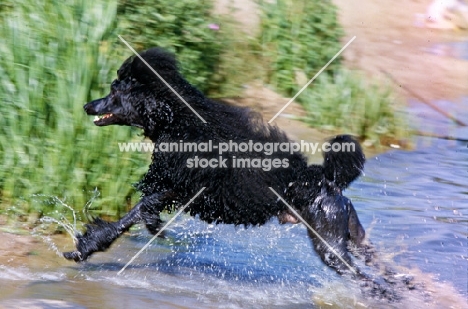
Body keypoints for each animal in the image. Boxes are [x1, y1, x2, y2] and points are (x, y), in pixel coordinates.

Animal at [64, 47, 374, 280]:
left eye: (115, 92)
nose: (88, 106)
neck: (178, 120)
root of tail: (327, 181)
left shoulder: (178, 185)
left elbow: (136, 211)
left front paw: (88, 245)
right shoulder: (175, 187)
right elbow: (141, 210)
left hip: (329, 242)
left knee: (364, 278)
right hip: (350, 235)